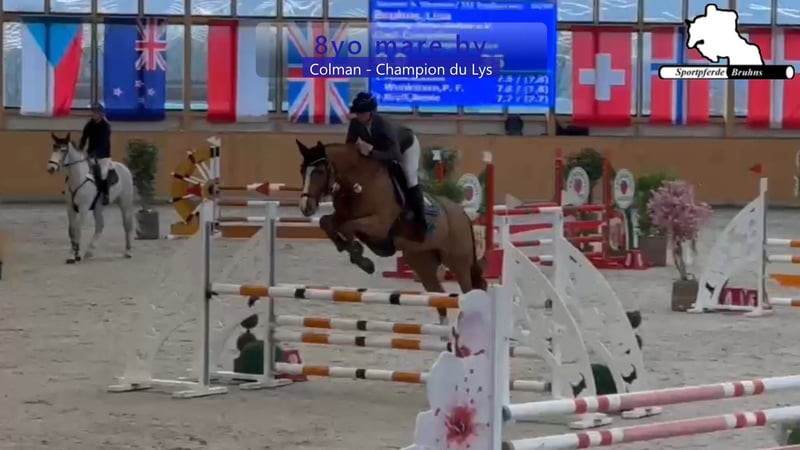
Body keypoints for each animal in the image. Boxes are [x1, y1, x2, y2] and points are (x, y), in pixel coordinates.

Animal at [46, 132, 135, 264]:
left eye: (63, 150)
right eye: (54, 148)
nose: (51, 168)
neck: (78, 177)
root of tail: (124, 168)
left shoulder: (84, 208)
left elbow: (78, 229)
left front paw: (74, 255)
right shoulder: (70, 208)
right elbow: (72, 230)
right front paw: (74, 254)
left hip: (125, 203)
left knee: (127, 225)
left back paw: (128, 251)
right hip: (98, 207)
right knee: (100, 226)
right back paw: (89, 251)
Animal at [295, 139, 486, 326]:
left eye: (319, 171)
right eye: (302, 170)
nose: (305, 207)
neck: (358, 183)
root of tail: (463, 213)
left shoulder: (378, 225)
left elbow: (347, 227)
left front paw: (360, 257)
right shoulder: (341, 218)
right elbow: (326, 222)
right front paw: (353, 252)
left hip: (458, 261)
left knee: (469, 289)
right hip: (421, 261)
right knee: (438, 294)